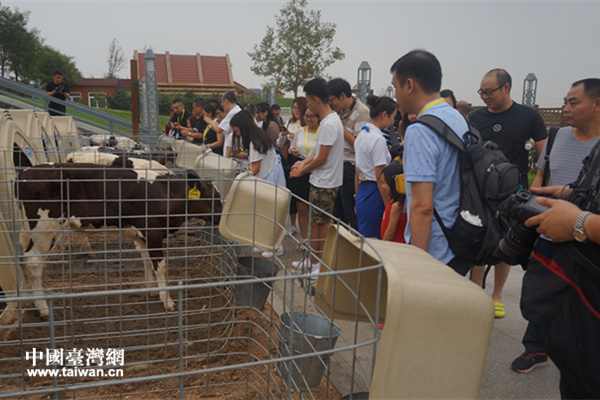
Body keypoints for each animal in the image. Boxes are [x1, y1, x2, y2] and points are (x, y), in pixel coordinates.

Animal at [17, 163, 222, 317]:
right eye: (215, 197)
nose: (221, 218)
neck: (166, 192)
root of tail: (27, 172)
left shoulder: (143, 236)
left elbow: (147, 261)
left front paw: (151, 290)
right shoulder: (154, 232)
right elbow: (160, 265)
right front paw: (167, 300)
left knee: (25, 258)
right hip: (45, 228)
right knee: (33, 262)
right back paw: (43, 308)